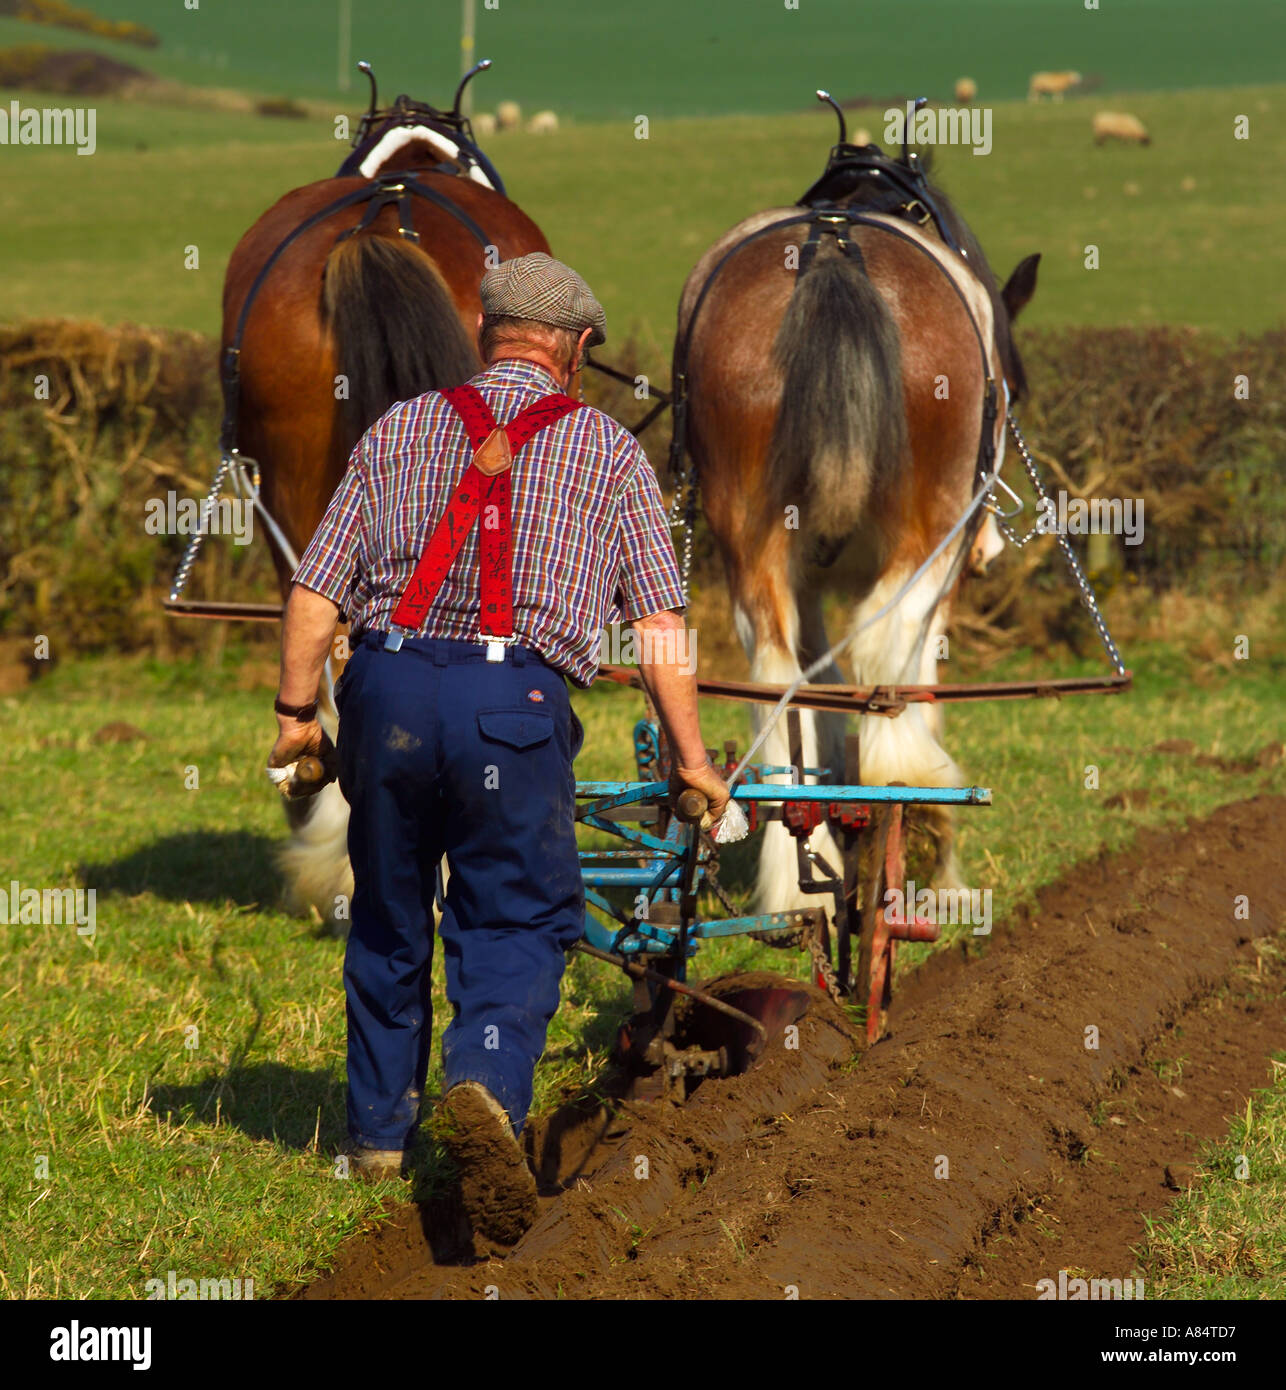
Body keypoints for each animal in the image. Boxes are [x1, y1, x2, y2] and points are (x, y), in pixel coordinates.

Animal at [678, 143, 1039, 911]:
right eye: (1016, 390)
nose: (990, 551)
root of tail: (833, 252)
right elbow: (915, 671)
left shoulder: (806, 578)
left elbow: (818, 686)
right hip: (931, 528)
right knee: (886, 649)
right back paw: (915, 818)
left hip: (749, 539)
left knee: (776, 672)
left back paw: (801, 881)